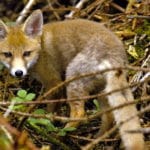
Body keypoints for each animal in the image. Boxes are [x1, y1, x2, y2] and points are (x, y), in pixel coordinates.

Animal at [0, 9, 145, 149]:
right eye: (7, 54)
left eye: (27, 53)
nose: (19, 73)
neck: (40, 49)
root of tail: (115, 56)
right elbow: (56, 108)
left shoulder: (54, 82)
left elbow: (49, 111)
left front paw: (45, 126)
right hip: (102, 91)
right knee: (108, 116)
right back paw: (95, 141)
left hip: (73, 78)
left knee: (79, 114)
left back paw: (59, 137)